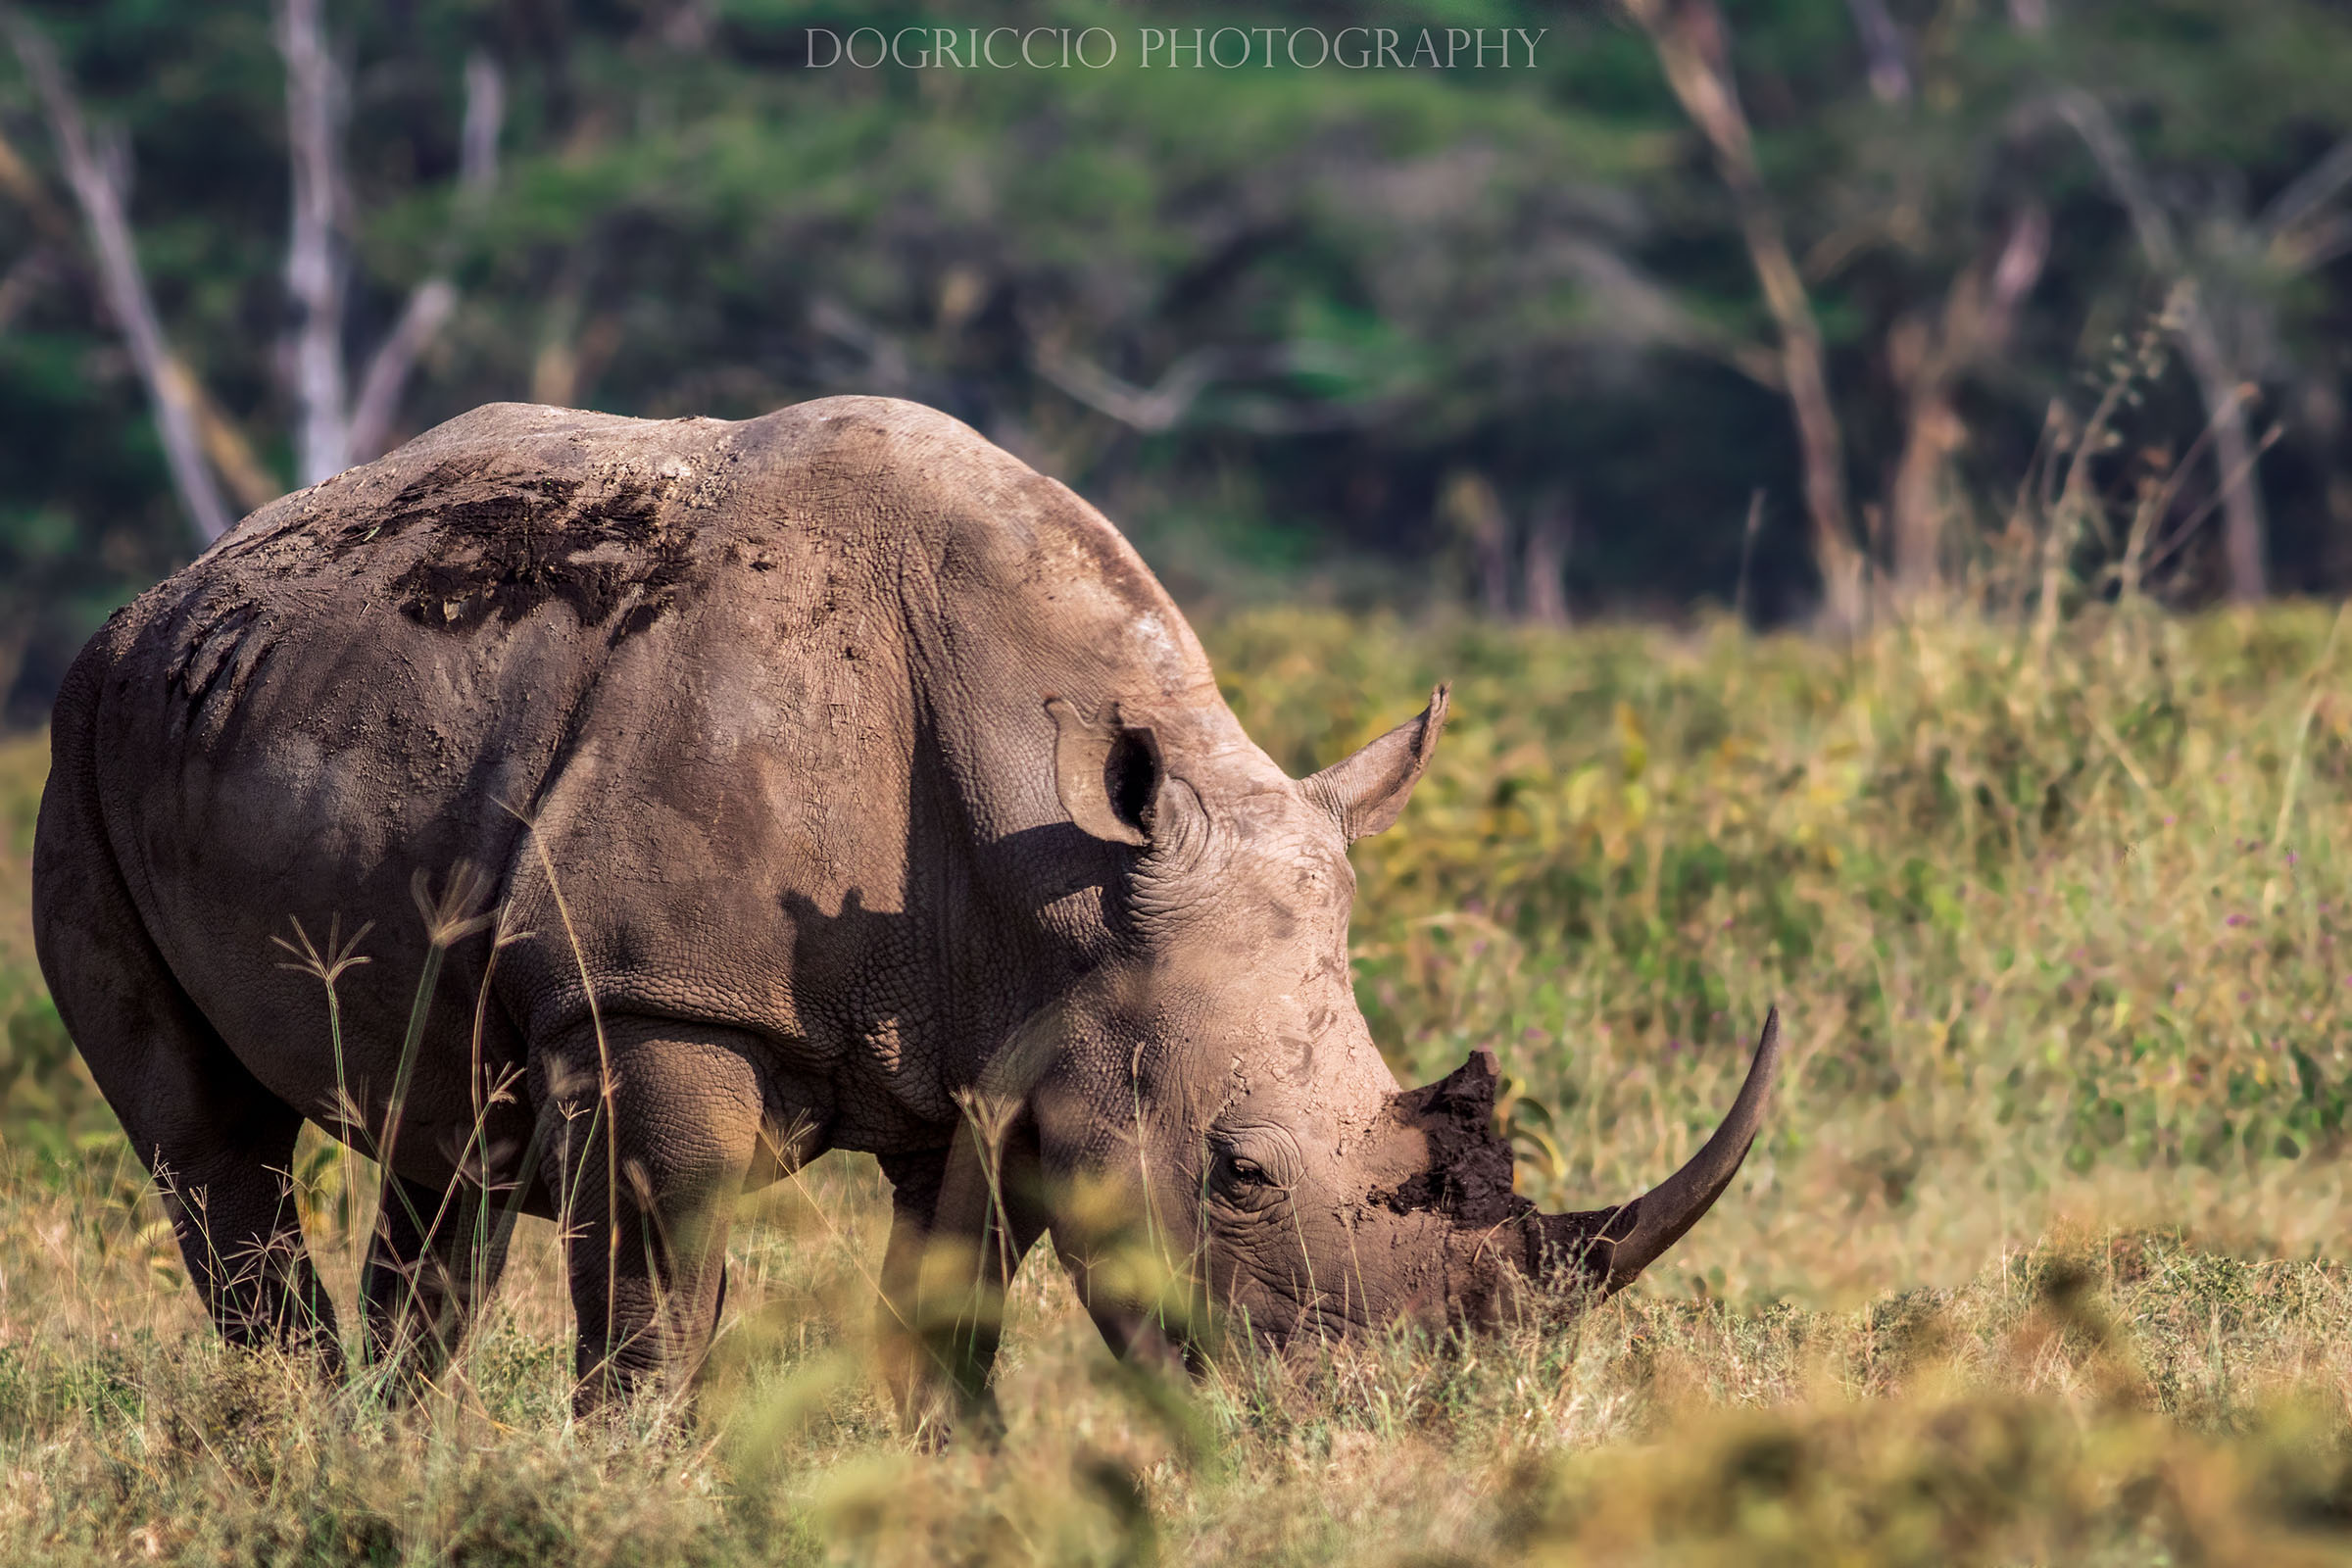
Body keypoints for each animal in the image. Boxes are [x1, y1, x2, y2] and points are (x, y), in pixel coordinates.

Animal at [32, 397, 1779, 1424]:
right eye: (1239, 1178)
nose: (1393, 1429)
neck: (1058, 852)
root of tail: (190, 575)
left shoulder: (1011, 1042)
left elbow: (949, 1306)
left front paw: (960, 1479)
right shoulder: (655, 995)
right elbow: (662, 1285)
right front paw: (633, 1476)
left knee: (437, 1140)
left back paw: (384, 1449)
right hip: (84, 741)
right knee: (208, 1139)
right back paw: (289, 1435)